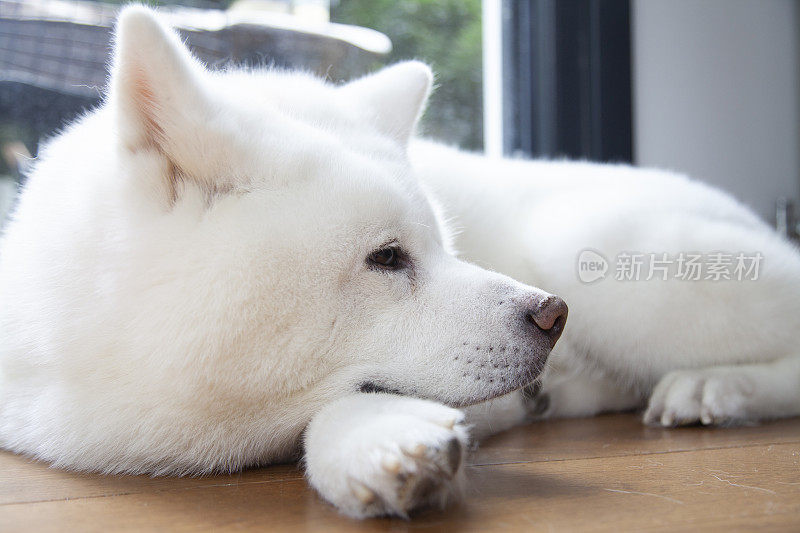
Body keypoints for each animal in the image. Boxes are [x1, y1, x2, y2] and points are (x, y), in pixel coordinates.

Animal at [1, 5, 800, 520]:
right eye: (387, 258)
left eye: (445, 245)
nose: (553, 316)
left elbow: (344, 404)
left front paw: (376, 443)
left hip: (601, 255)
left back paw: (716, 386)